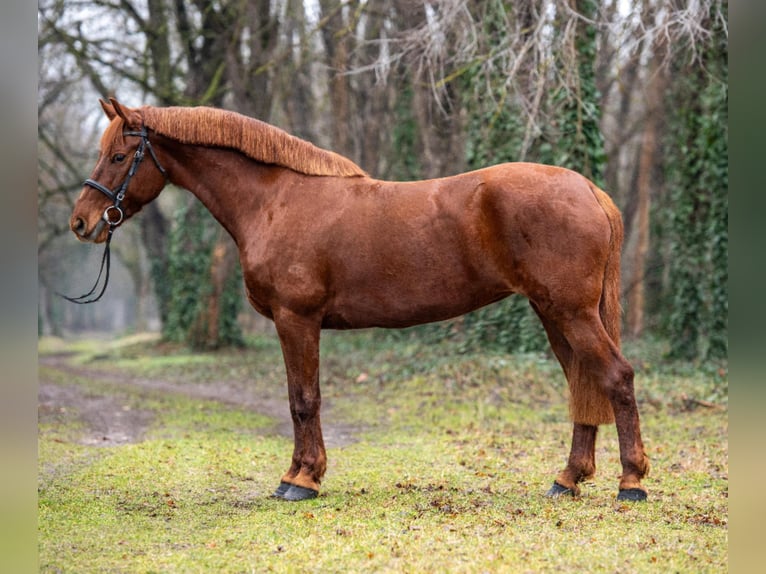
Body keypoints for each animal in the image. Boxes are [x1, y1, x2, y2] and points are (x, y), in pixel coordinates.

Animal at [68, 98, 649, 502]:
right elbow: (300, 398)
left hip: (571, 313)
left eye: (119, 155)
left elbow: (304, 399)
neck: (275, 201)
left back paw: (632, 482)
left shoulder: (296, 319)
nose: (82, 222)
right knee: (583, 385)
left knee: (615, 378)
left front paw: (301, 479)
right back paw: (567, 479)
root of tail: (588, 190)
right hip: (554, 314)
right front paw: (300, 473)